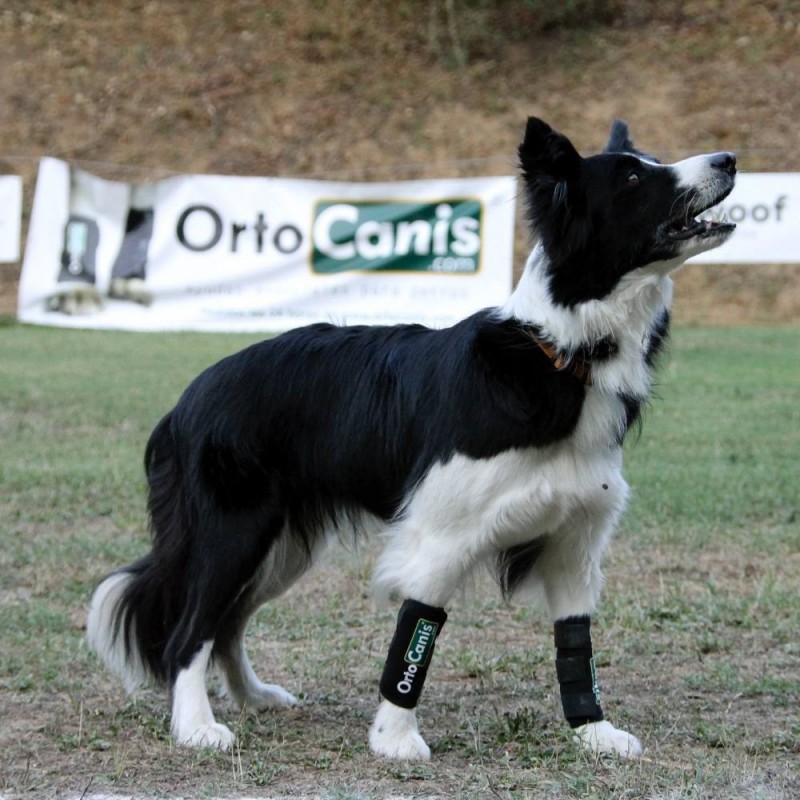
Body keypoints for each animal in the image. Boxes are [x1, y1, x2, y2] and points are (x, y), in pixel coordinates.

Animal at [87, 119, 736, 764]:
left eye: (651, 162)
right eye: (631, 177)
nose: (728, 159)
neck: (562, 352)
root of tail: (186, 399)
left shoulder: (575, 539)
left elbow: (575, 640)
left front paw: (593, 731)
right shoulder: (441, 535)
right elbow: (416, 633)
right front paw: (395, 739)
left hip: (281, 546)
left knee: (227, 622)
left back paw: (253, 697)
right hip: (232, 534)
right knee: (189, 631)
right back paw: (197, 727)